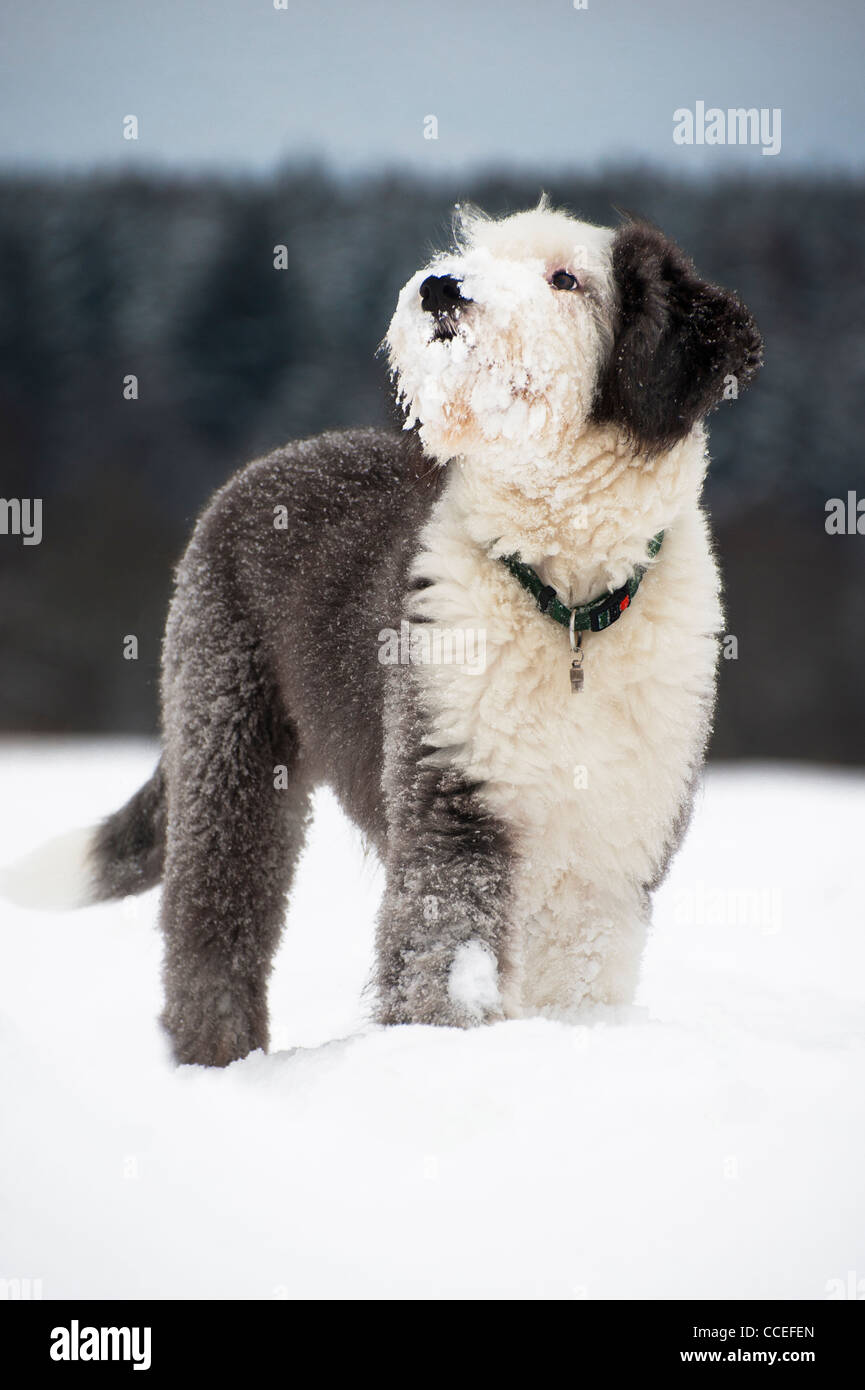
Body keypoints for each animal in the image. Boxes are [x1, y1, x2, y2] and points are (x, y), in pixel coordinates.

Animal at [8, 201, 767, 1061]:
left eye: (565, 278)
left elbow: (578, 978)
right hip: (225, 729)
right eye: (474, 249)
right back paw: (218, 1059)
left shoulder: (614, 842)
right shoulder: (451, 797)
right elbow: (441, 958)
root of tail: (277, 458)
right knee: (213, 915)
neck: (567, 605)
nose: (441, 286)